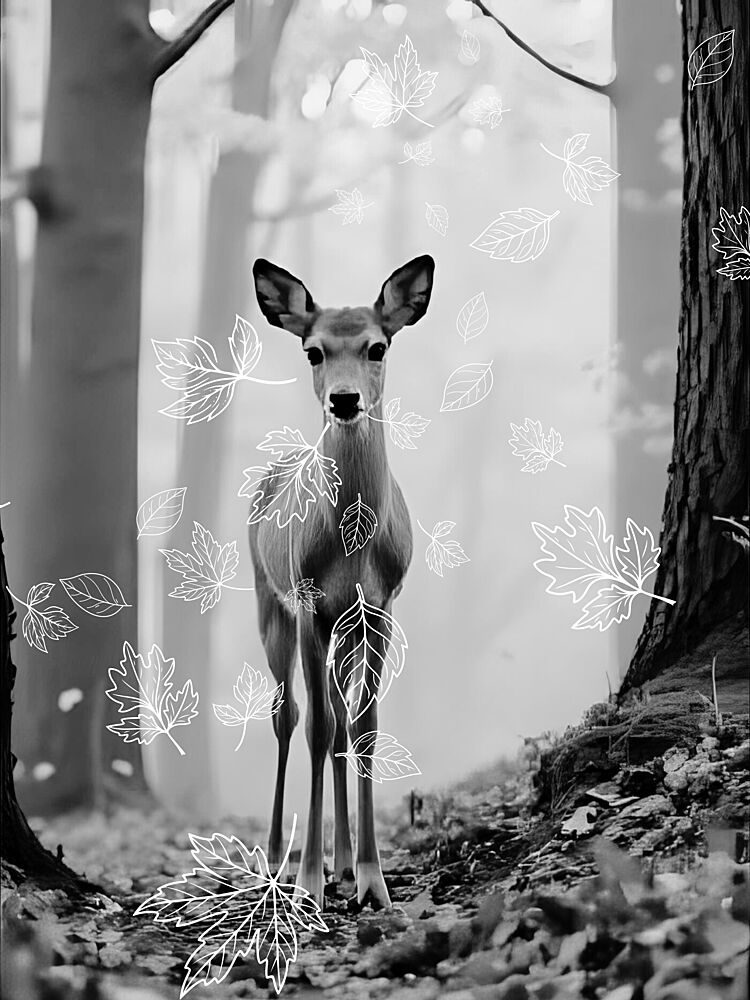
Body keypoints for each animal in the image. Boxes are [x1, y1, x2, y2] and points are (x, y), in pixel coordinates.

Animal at [248, 254, 435, 909]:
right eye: (313, 351)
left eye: (378, 346)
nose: (345, 398)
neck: (353, 551)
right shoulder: (307, 603)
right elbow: (319, 724)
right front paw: (309, 881)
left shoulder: (381, 606)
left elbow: (366, 727)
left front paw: (375, 880)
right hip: (270, 605)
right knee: (289, 716)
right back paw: (278, 861)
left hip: (344, 629)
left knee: (337, 720)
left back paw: (347, 862)